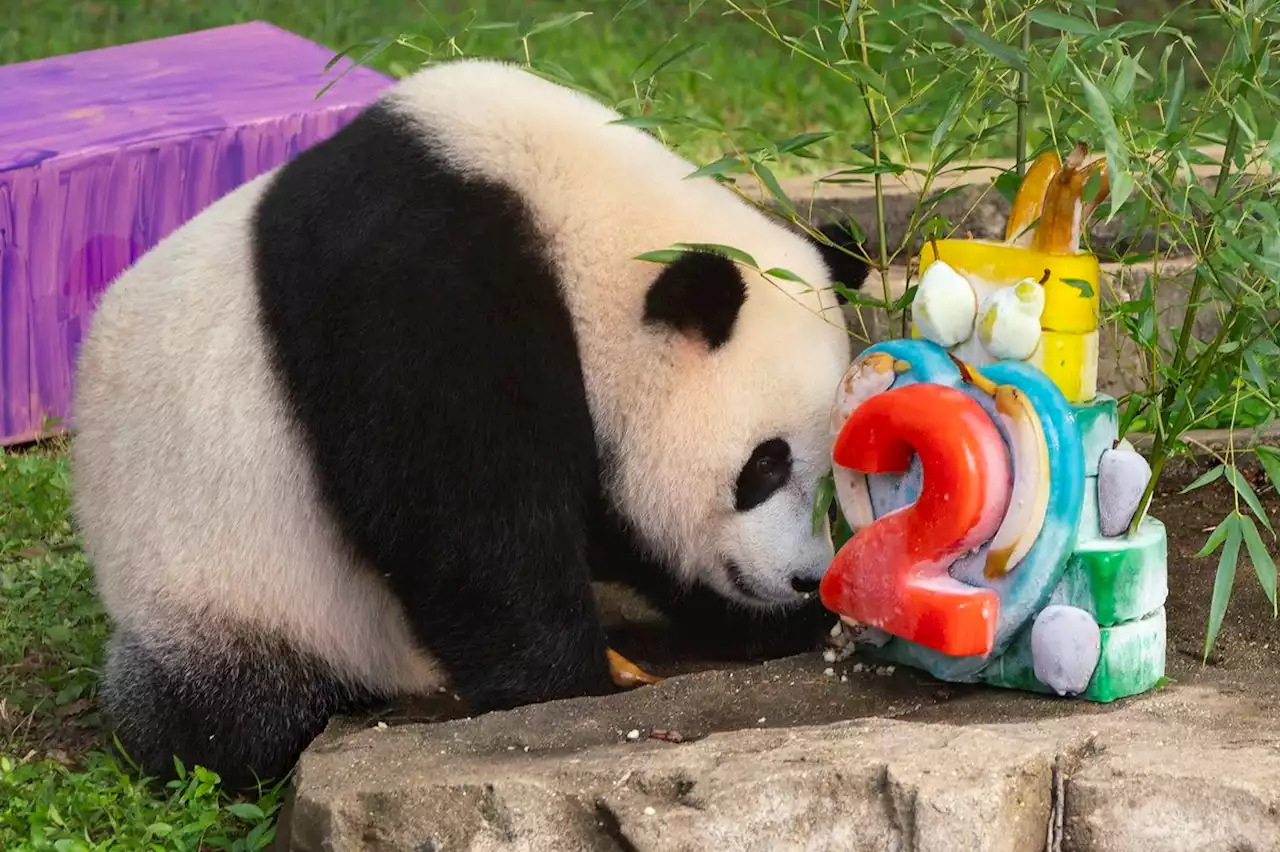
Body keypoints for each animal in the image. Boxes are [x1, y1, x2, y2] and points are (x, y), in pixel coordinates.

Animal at [70, 61, 870, 788]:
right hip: (221, 585)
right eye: (764, 464)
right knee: (228, 711)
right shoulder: (418, 289)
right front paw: (566, 687)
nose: (803, 577)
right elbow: (462, 511)